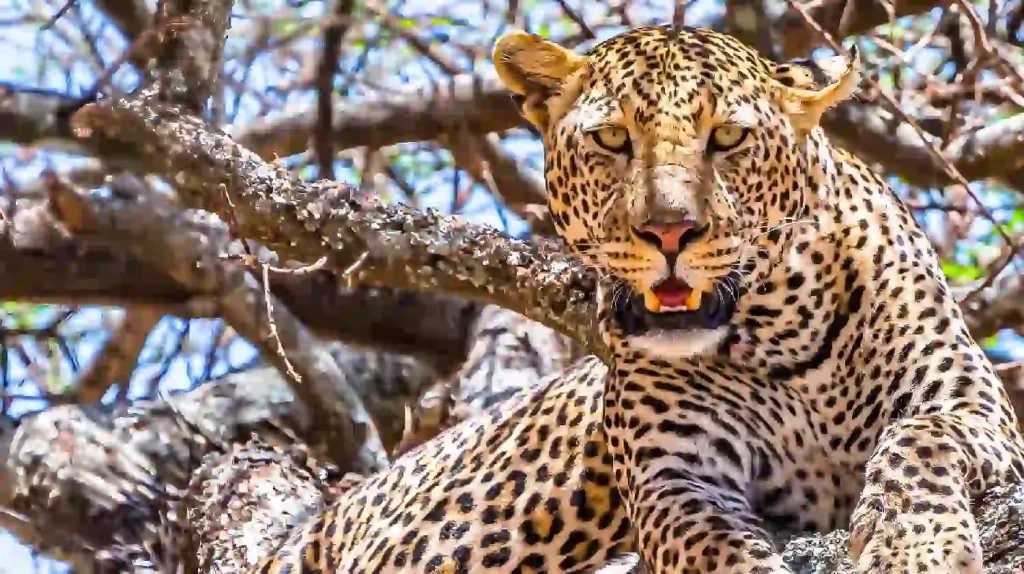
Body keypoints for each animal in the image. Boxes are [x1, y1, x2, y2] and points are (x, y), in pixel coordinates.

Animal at [250, 25, 1024, 574]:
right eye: (613, 138)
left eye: (728, 137)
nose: (669, 230)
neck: (785, 335)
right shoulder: (674, 478)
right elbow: (714, 550)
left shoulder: (971, 408)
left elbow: (917, 439)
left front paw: (913, 549)